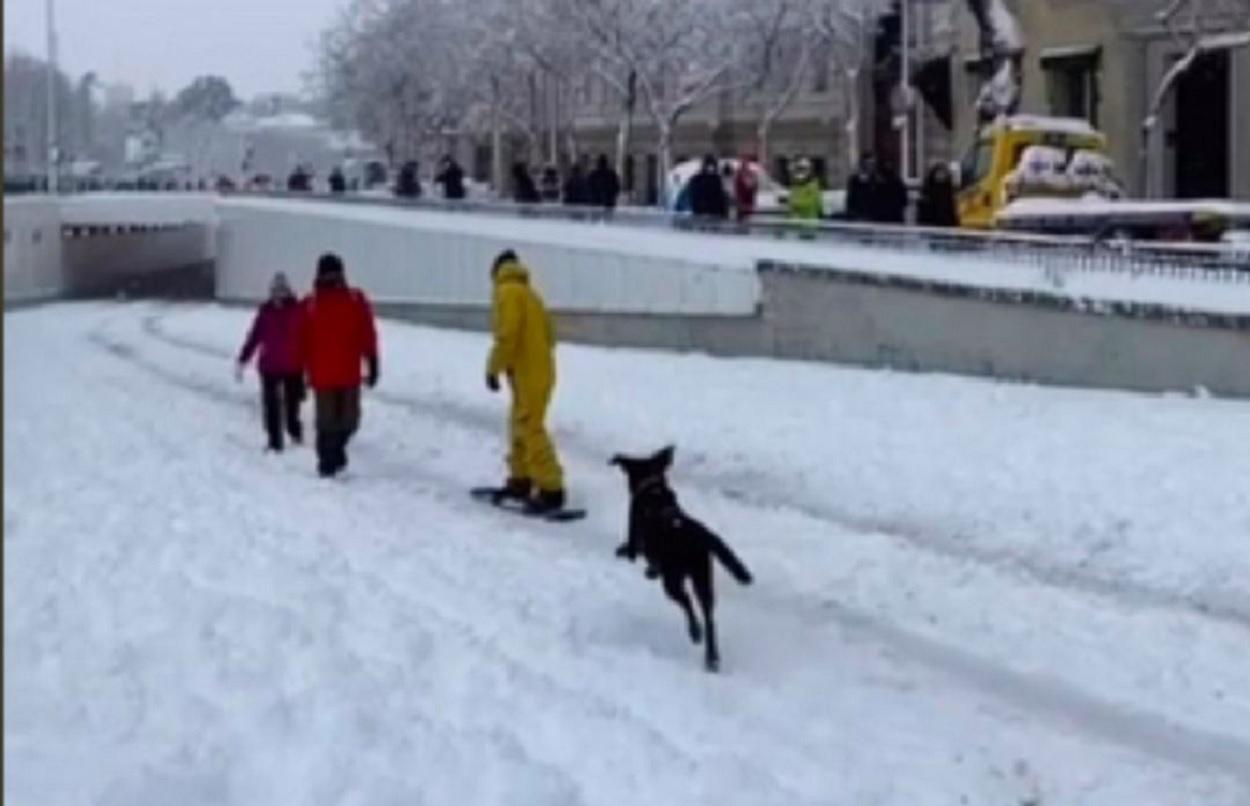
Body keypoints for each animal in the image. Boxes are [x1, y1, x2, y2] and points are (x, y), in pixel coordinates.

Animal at [607, 442, 750, 669]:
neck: (652, 487)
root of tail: (698, 534)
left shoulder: (635, 539)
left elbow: (631, 550)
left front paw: (623, 553)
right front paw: (649, 570)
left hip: (673, 580)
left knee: (686, 602)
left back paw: (695, 632)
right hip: (703, 578)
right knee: (709, 616)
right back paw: (711, 657)